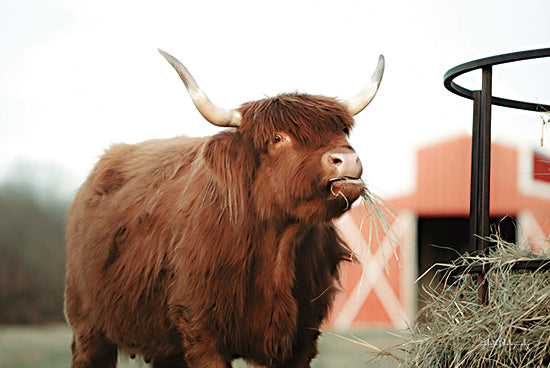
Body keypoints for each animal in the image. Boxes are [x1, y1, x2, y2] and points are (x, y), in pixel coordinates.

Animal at [63, 49, 384, 368]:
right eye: (277, 137)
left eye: (342, 130)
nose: (346, 159)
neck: (279, 246)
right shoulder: (202, 332)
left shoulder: (302, 340)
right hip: (88, 330)